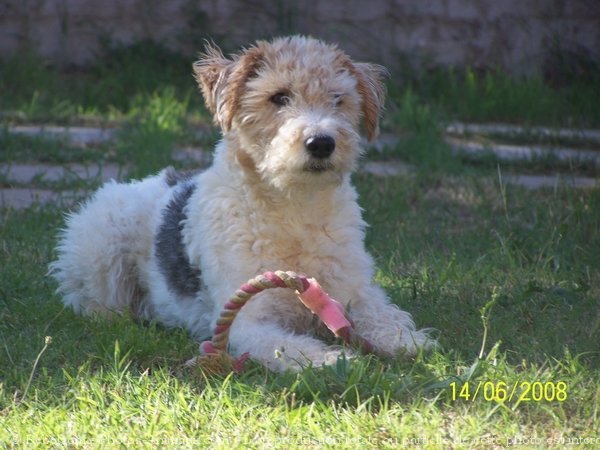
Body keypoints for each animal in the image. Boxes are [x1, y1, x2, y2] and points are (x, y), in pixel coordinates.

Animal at [48, 36, 432, 372]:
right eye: (278, 97)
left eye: (338, 98)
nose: (321, 143)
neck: (295, 207)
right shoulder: (251, 320)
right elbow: (291, 347)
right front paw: (332, 361)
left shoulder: (355, 291)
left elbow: (383, 314)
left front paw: (404, 339)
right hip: (103, 248)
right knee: (88, 300)